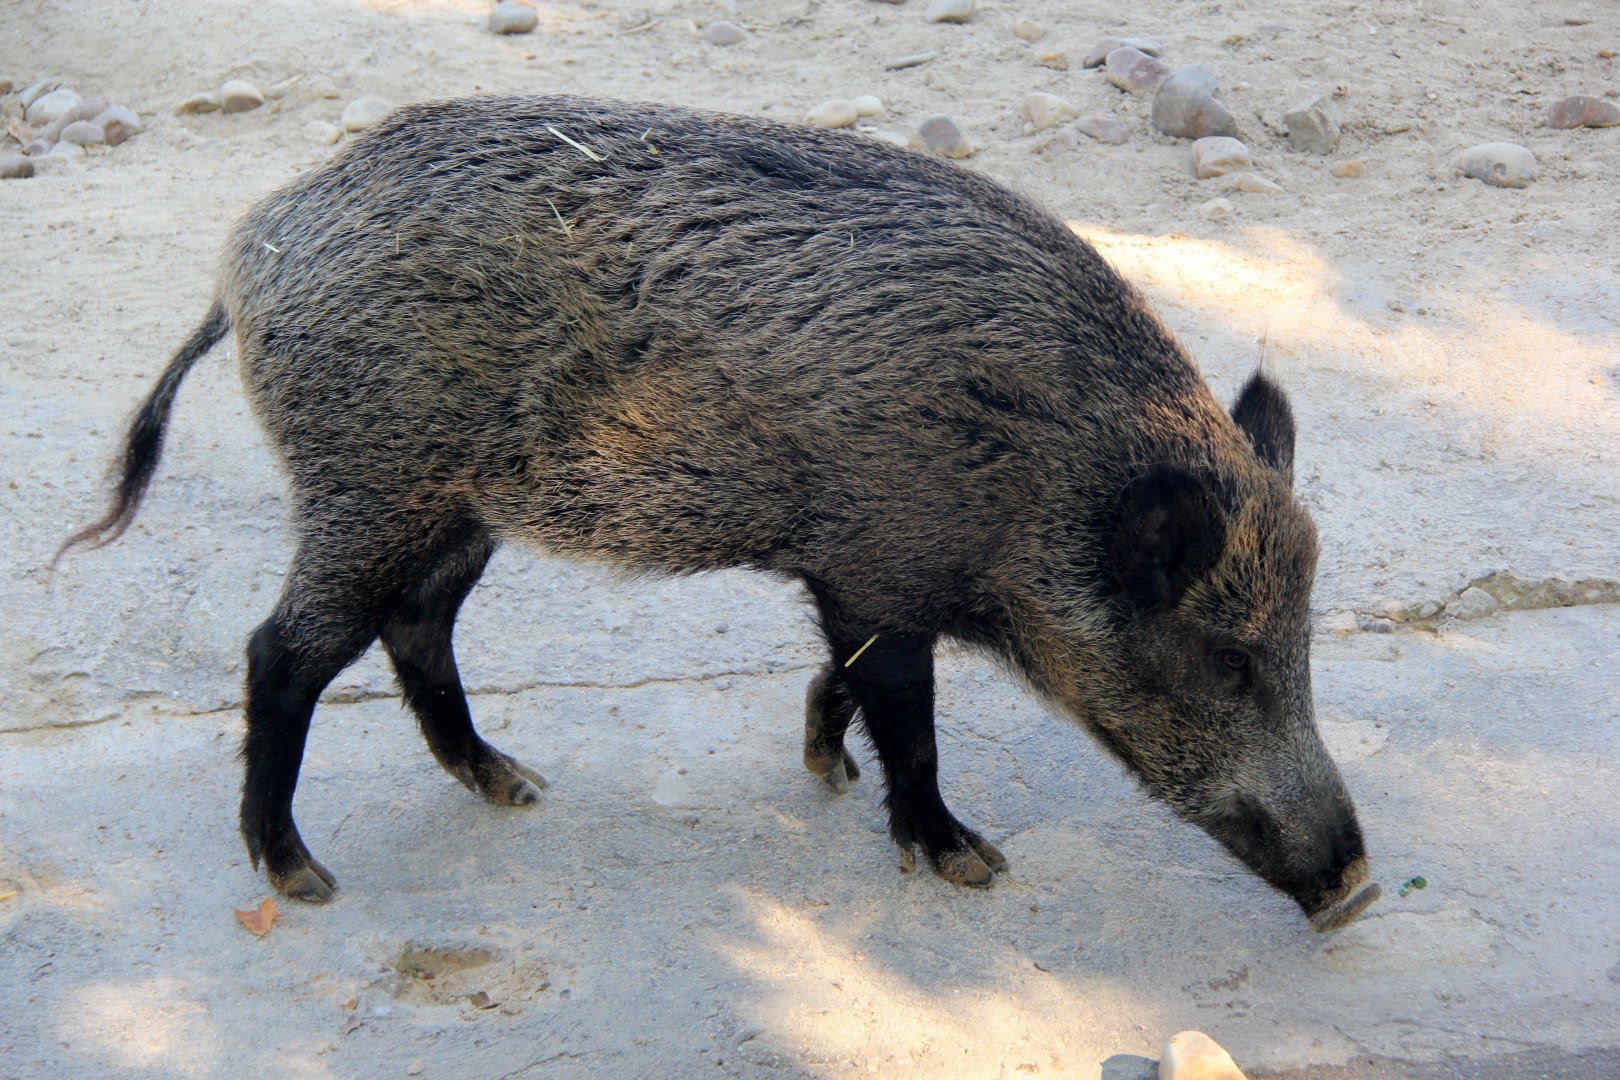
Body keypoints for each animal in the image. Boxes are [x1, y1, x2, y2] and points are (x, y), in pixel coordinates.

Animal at [59, 95, 1379, 930]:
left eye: (1303, 648)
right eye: (1230, 660)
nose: (1358, 886)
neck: (1039, 476)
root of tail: (249, 255)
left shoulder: (850, 573)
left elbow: (848, 680)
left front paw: (823, 772)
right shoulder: (880, 564)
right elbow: (910, 716)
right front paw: (968, 863)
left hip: (451, 512)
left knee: (415, 630)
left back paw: (513, 785)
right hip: (369, 485)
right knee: (281, 654)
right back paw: (304, 880)